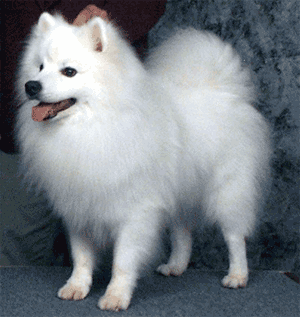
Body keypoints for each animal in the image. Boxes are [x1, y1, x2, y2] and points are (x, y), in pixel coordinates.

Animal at [15, 12, 270, 308]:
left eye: (69, 71)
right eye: (40, 66)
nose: (31, 86)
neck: (93, 124)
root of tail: (225, 89)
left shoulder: (135, 211)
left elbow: (123, 261)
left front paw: (115, 296)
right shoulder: (80, 207)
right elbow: (81, 257)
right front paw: (76, 286)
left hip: (228, 191)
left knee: (235, 236)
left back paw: (237, 275)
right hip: (181, 191)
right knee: (183, 232)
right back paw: (176, 266)